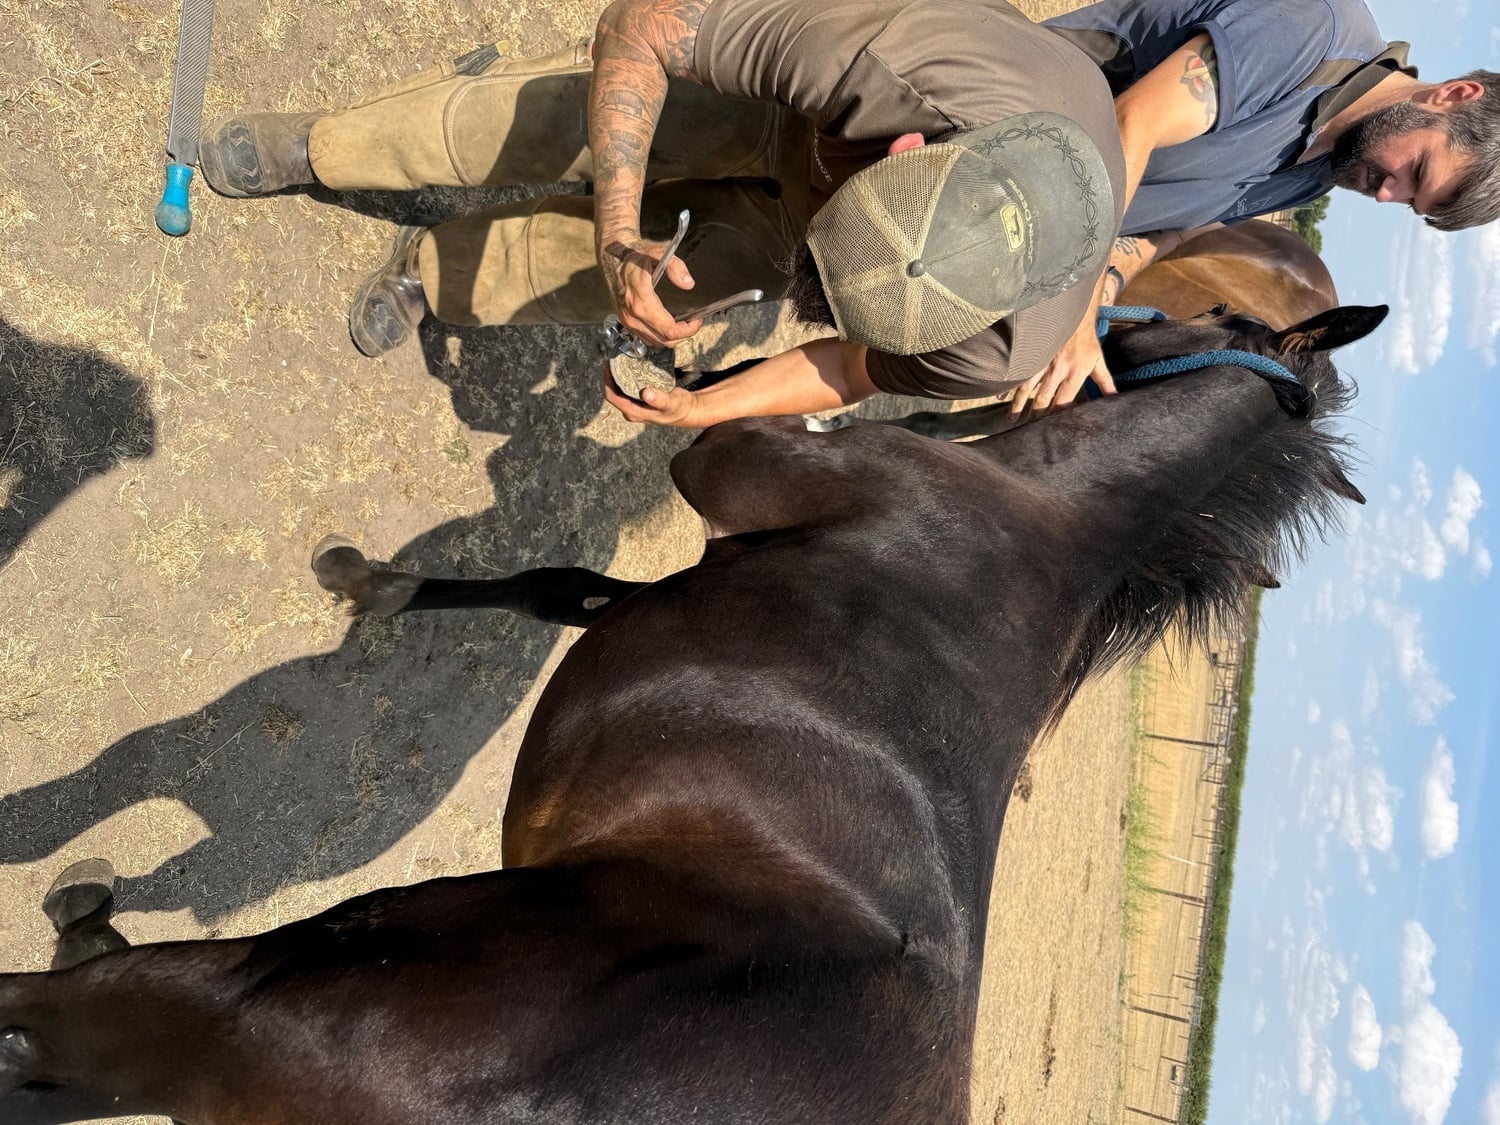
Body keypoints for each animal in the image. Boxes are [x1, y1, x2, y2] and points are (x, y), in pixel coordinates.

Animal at [0, 300, 1384, 1125]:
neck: (1041, 522)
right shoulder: (666, 584)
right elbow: (561, 586)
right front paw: (383, 586)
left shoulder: (724, 472)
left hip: (224, 991)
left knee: (52, 1015)